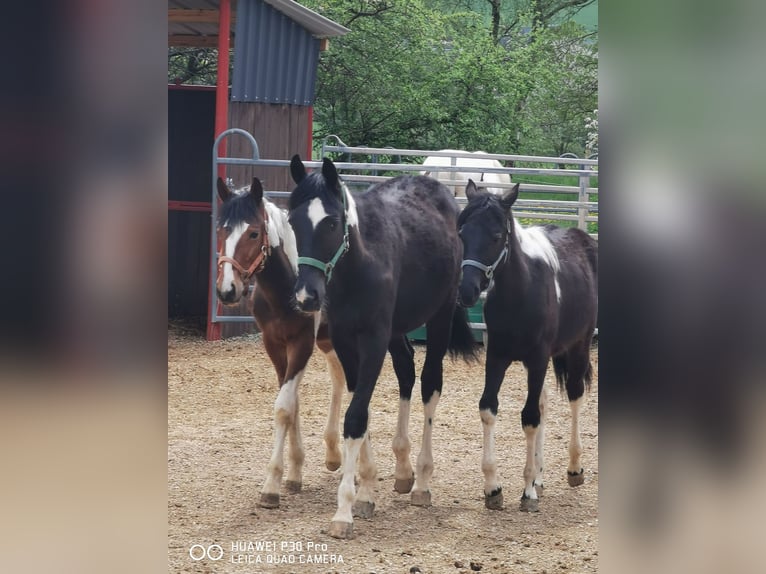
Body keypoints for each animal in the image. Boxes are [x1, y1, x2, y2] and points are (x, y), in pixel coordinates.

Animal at [216, 178, 348, 510]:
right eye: (220, 230)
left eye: (253, 233)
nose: (227, 290)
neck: (286, 288)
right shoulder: (275, 345)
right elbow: (292, 403)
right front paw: (295, 472)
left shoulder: (302, 344)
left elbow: (284, 407)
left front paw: (271, 486)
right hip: (328, 340)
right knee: (339, 379)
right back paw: (333, 454)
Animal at [290, 156, 476, 540]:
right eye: (292, 222)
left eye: (331, 222)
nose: (306, 296)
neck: (359, 264)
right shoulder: (347, 342)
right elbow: (360, 408)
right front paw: (365, 490)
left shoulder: (374, 340)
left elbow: (356, 416)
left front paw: (344, 511)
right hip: (398, 330)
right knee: (406, 371)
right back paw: (403, 470)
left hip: (439, 319)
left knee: (430, 384)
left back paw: (421, 482)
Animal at [456, 181, 600, 512]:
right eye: (462, 233)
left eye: (496, 235)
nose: (467, 291)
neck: (520, 291)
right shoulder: (497, 356)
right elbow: (488, 408)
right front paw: (494, 488)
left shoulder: (537, 359)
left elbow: (530, 417)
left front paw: (528, 492)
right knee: (545, 402)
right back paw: (541, 476)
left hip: (578, 346)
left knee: (575, 397)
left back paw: (574, 469)